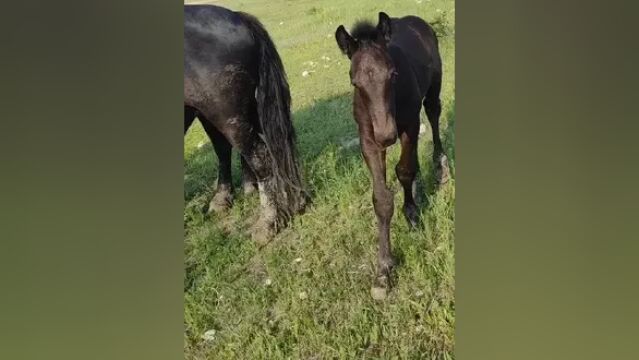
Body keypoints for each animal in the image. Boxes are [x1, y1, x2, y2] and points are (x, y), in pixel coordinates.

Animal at [336, 11, 450, 298]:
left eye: (393, 74)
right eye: (355, 82)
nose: (387, 135)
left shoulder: (409, 125)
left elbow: (405, 171)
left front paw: (412, 216)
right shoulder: (368, 140)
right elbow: (382, 198)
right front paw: (384, 270)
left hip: (434, 85)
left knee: (433, 112)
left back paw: (440, 166)